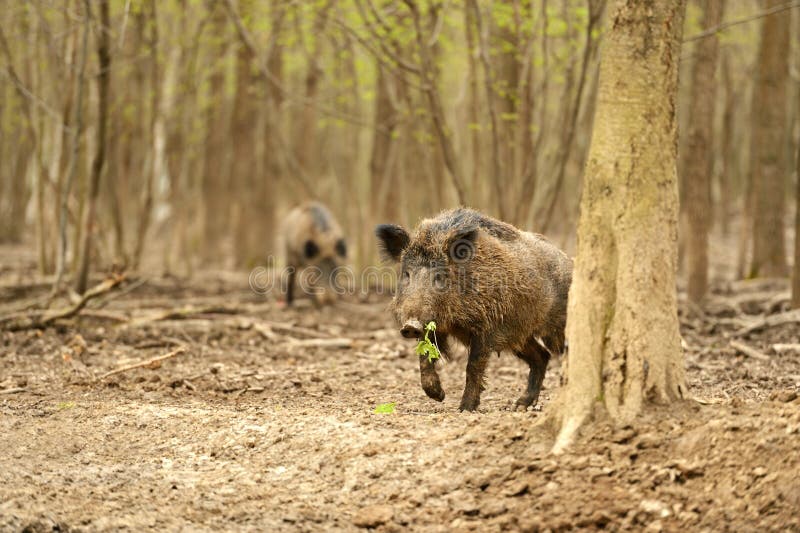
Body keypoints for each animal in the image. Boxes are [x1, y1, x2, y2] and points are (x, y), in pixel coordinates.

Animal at [375, 207, 572, 411]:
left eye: (439, 276)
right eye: (406, 274)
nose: (410, 326)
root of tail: (568, 260)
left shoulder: (487, 327)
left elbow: (473, 367)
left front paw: (465, 408)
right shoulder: (433, 327)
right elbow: (425, 357)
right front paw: (438, 396)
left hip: (555, 326)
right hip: (519, 335)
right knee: (542, 356)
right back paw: (519, 405)